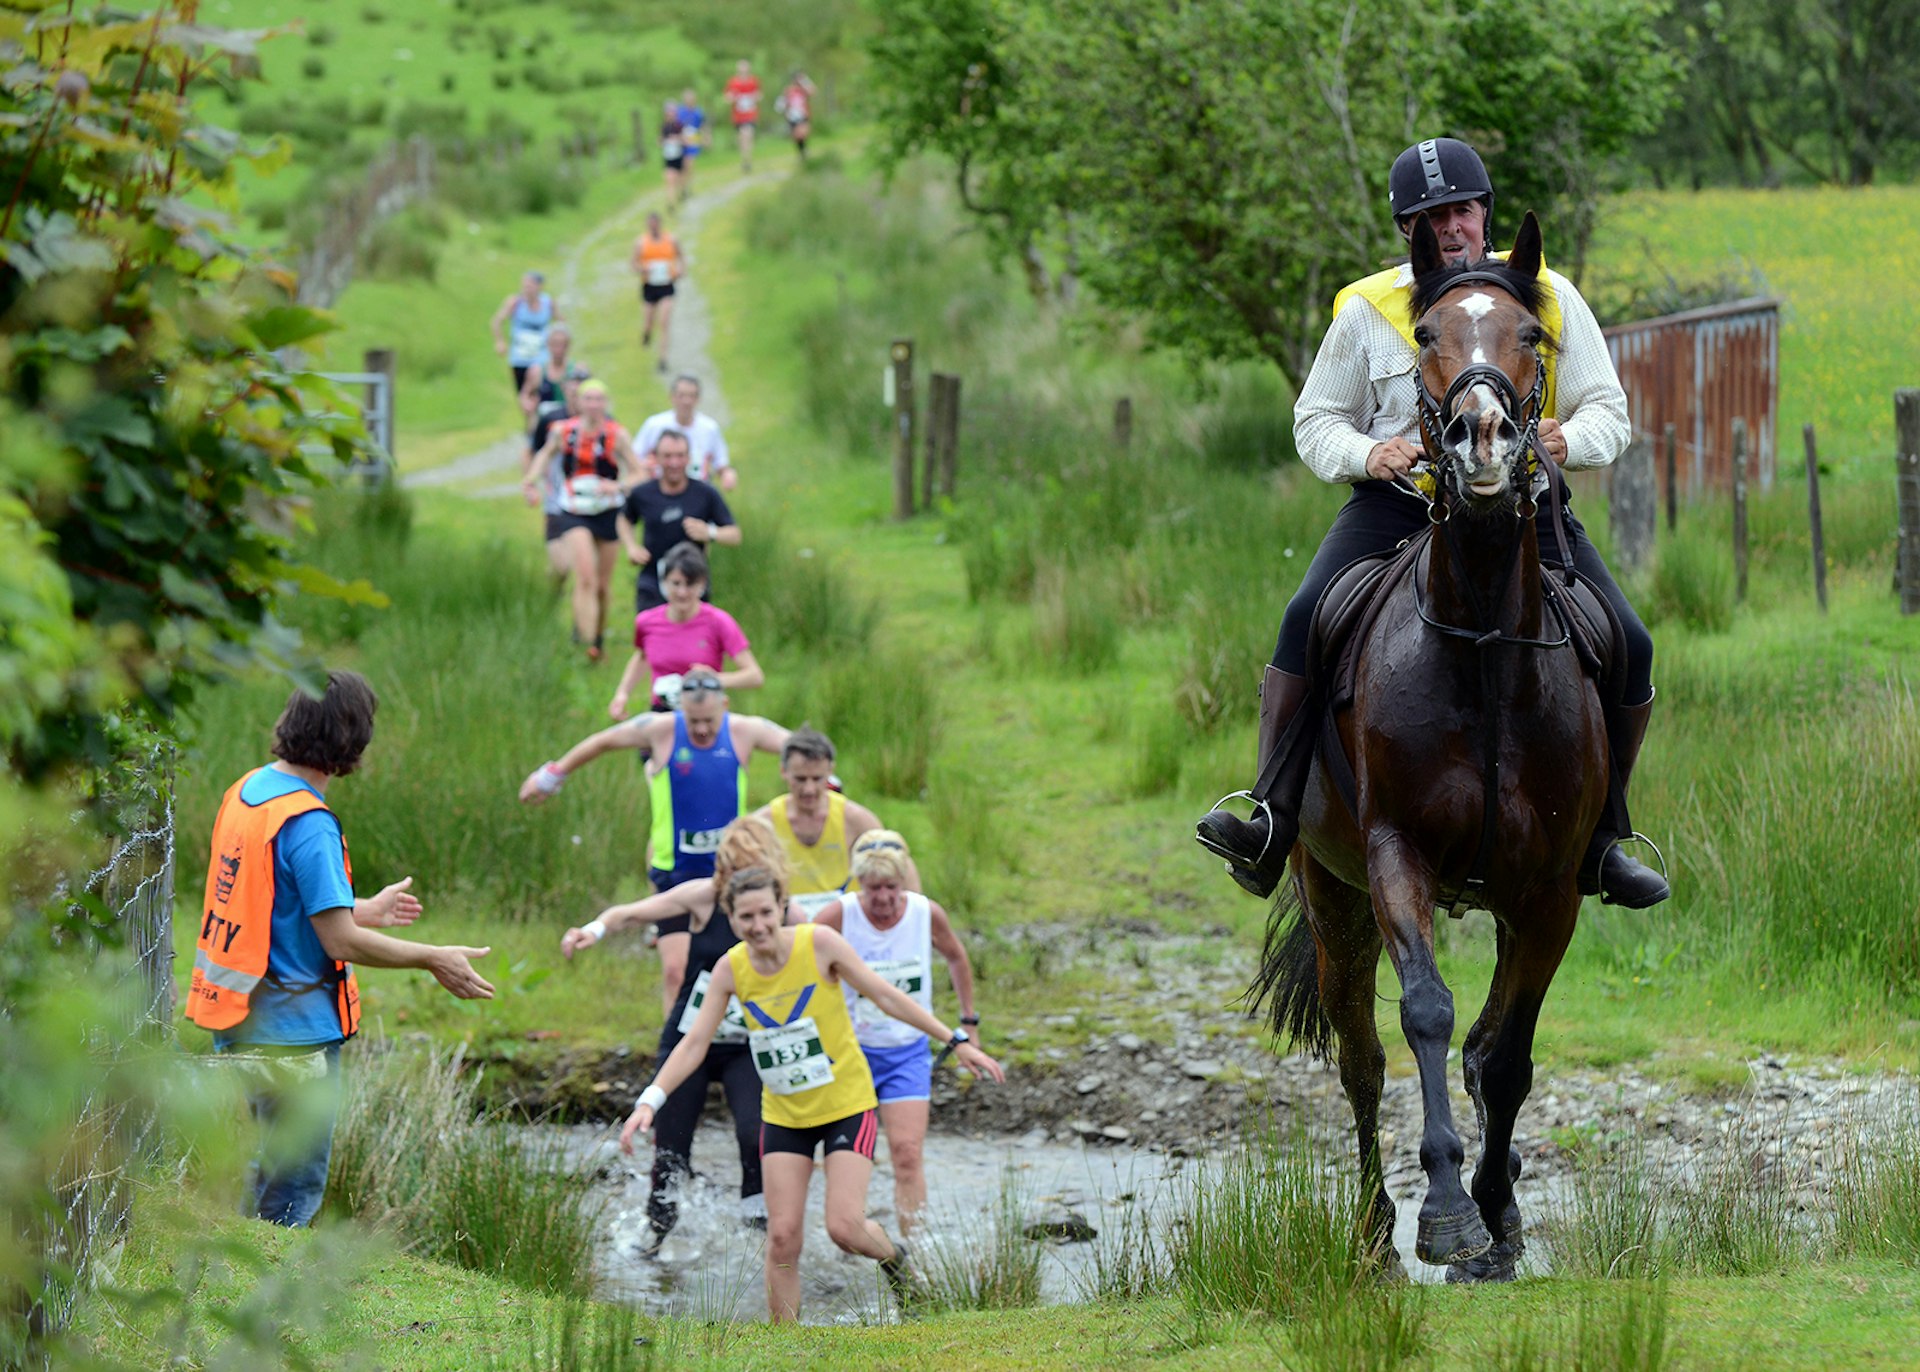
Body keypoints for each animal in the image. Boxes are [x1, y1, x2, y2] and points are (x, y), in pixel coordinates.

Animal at [1251, 209, 1612, 1281]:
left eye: (1530, 336)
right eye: (1423, 337)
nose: (1482, 438)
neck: (1485, 644)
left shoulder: (1547, 891)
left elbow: (1508, 1053)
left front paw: (1494, 1217)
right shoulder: (1394, 858)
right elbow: (1427, 1016)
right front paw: (1448, 1212)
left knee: (1486, 1044)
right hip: (1333, 896)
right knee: (1364, 1061)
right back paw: (1374, 1235)